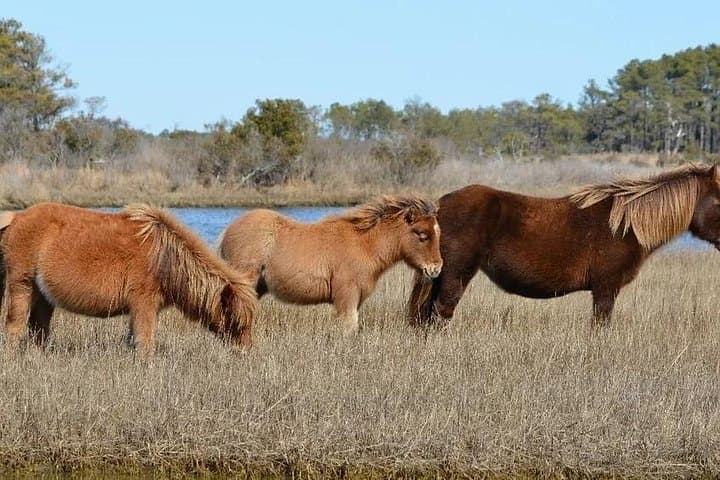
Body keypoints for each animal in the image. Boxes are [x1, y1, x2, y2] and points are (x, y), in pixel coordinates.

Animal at [0, 203, 258, 355]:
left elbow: (134, 340)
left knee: (38, 329)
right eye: (236, 320)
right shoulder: (144, 305)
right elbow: (145, 342)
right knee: (14, 326)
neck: (165, 256)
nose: (244, 352)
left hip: (44, 297)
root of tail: (16, 217)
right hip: (22, 285)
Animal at [218, 195, 443, 334]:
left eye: (438, 233)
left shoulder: (356, 299)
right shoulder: (346, 297)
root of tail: (227, 231)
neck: (365, 244)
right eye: (422, 235)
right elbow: (348, 328)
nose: (436, 268)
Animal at [408, 163, 720, 328]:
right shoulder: (605, 288)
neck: (626, 225)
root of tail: (440, 207)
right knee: (440, 313)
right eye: (719, 201)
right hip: (455, 275)